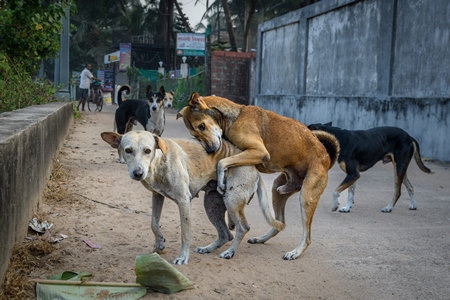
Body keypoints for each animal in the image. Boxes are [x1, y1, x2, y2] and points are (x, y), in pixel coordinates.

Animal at [178, 92, 338, 260]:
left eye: (202, 126)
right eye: (194, 134)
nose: (209, 151)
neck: (235, 116)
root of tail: (327, 158)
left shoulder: (259, 152)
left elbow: (221, 162)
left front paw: (221, 182)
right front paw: (231, 220)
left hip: (306, 198)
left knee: (307, 237)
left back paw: (295, 252)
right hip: (277, 190)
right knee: (280, 223)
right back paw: (261, 238)